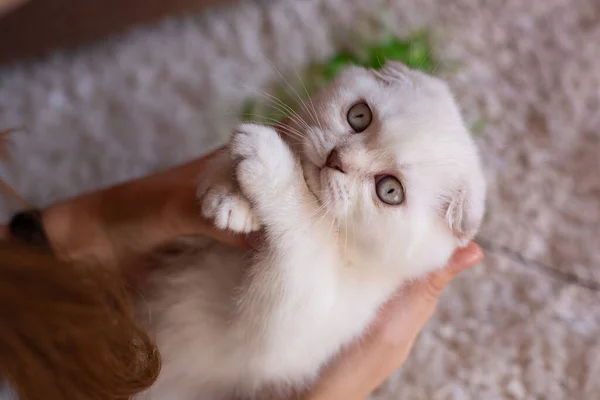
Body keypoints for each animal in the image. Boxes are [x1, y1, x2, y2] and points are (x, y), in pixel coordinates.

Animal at [135, 60, 482, 400]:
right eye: (359, 116)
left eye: (390, 191)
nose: (336, 159)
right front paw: (226, 193)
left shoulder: (281, 340)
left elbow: (306, 232)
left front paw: (268, 163)